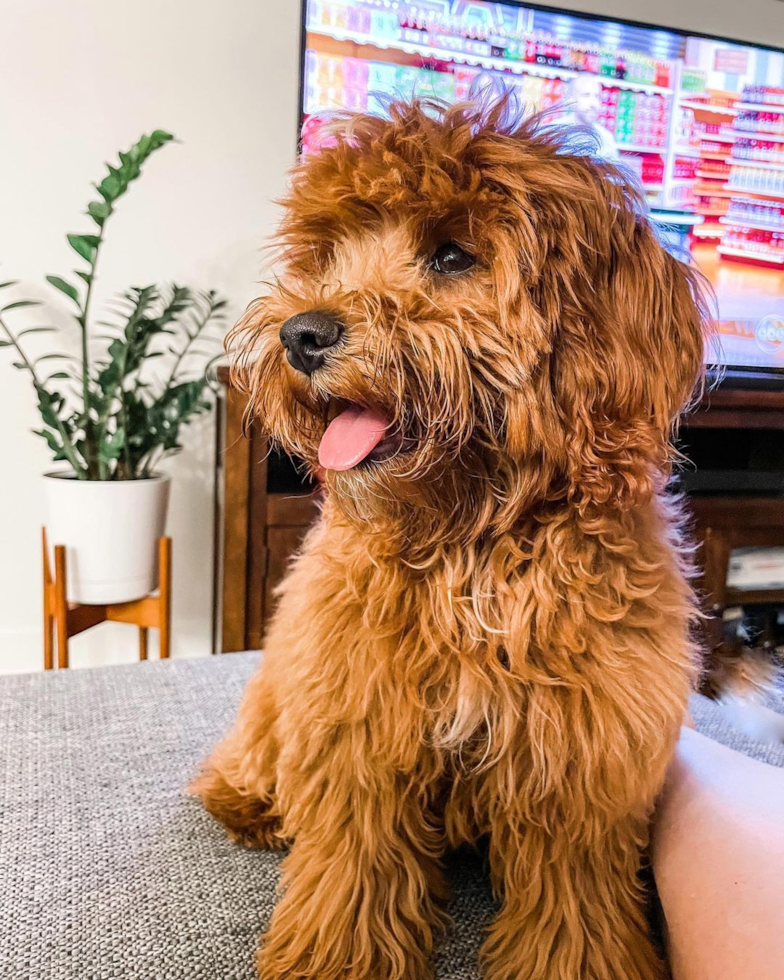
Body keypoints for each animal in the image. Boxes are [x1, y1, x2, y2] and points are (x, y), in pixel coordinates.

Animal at [194, 94, 712, 980]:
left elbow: (571, 911)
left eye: (452, 255)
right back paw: (253, 806)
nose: (302, 333)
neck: (471, 539)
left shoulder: (581, 769)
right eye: (326, 255)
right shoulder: (356, 731)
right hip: (280, 690)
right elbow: (353, 880)